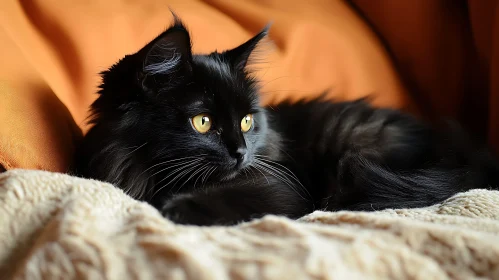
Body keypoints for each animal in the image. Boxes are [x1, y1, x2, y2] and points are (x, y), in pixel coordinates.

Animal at [73, 14, 499, 225]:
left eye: (247, 122)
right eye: (203, 122)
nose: (241, 153)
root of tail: (467, 153)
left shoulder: (277, 186)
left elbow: (228, 197)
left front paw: (173, 209)